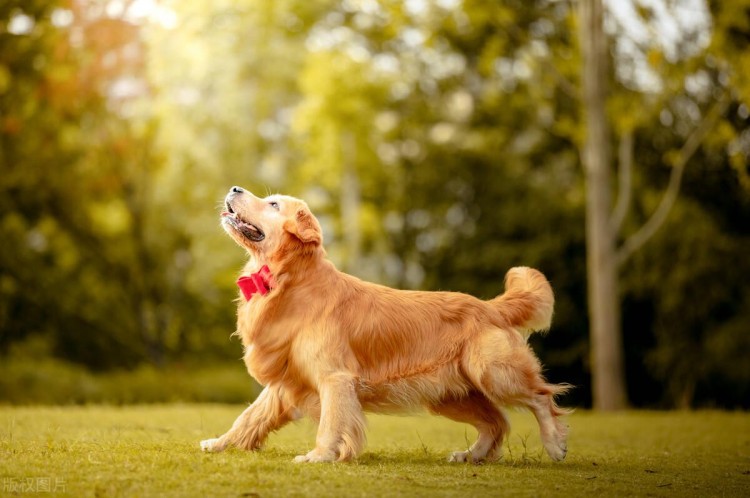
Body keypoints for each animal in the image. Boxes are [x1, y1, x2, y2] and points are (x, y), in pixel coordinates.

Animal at [200, 186, 568, 462]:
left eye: (274, 204)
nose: (234, 188)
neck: (292, 281)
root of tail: (490, 306)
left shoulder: (334, 377)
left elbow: (330, 423)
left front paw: (319, 456)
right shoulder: (288, 379)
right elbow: (249, 417)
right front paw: (219, 443)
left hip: (494, 372)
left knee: (540, 397)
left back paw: (554, 444)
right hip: (452, 395)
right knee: (497, 422)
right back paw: (471, 455)